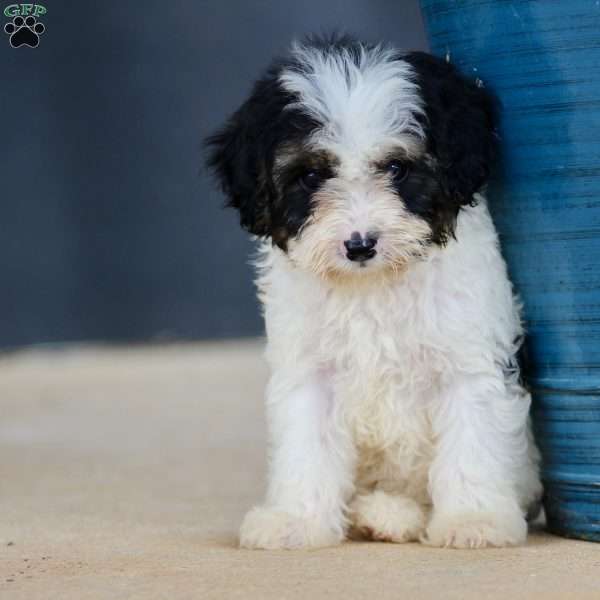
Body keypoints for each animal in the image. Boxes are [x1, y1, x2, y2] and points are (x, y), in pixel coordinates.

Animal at [207, 34, 544, 548]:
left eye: (397, 168)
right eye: (311, 176)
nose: (360, 244)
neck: (373, 286)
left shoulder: (469, 361)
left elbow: (472, 443)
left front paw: (473, 520)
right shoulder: (309, 371)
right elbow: (306, 447)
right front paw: (296, 520)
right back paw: (385, 513)